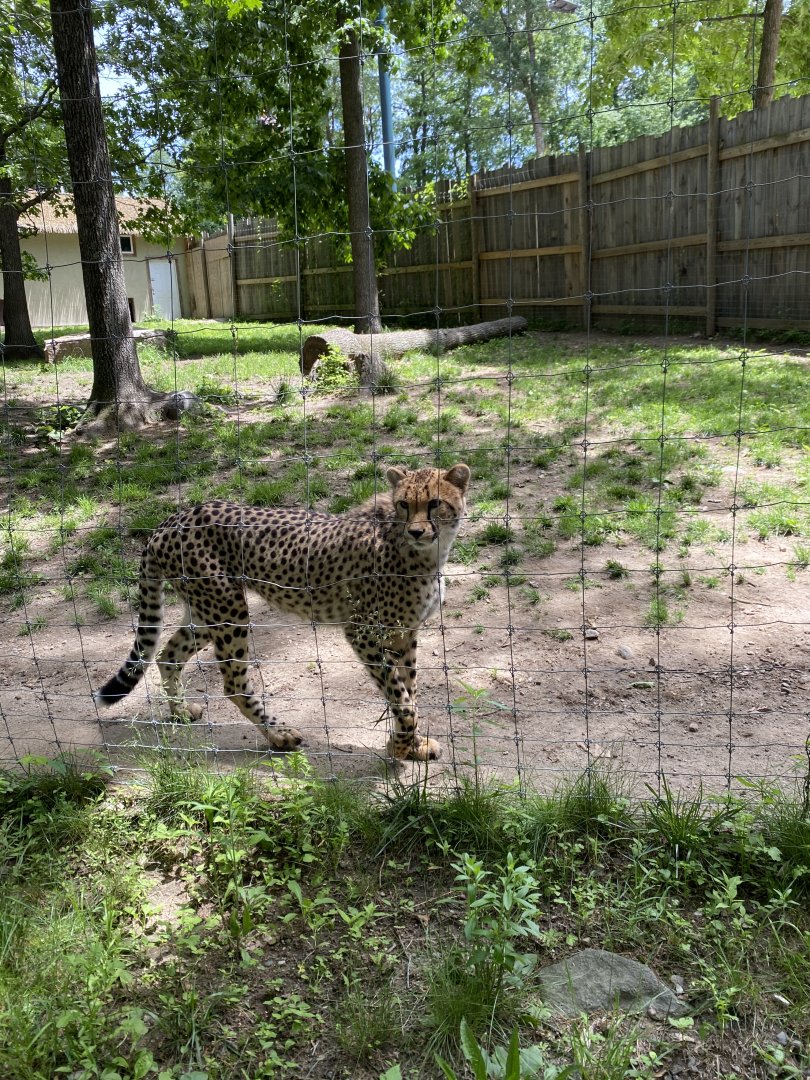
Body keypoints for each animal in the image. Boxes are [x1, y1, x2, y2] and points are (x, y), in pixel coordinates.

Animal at [94, 463, 471, 761]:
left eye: (435, 504)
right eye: (404, 504)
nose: (417, 531)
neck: (426, 553)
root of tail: (173, 517)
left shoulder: (405, 634)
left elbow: (409, 691)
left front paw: (413, 745)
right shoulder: (363, 632)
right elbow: (401, 697)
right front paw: (401, 746)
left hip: (206, 610)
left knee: (168, 655)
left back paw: (181, 712)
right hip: (227, 609)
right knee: (233, 682)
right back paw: (278, 734)